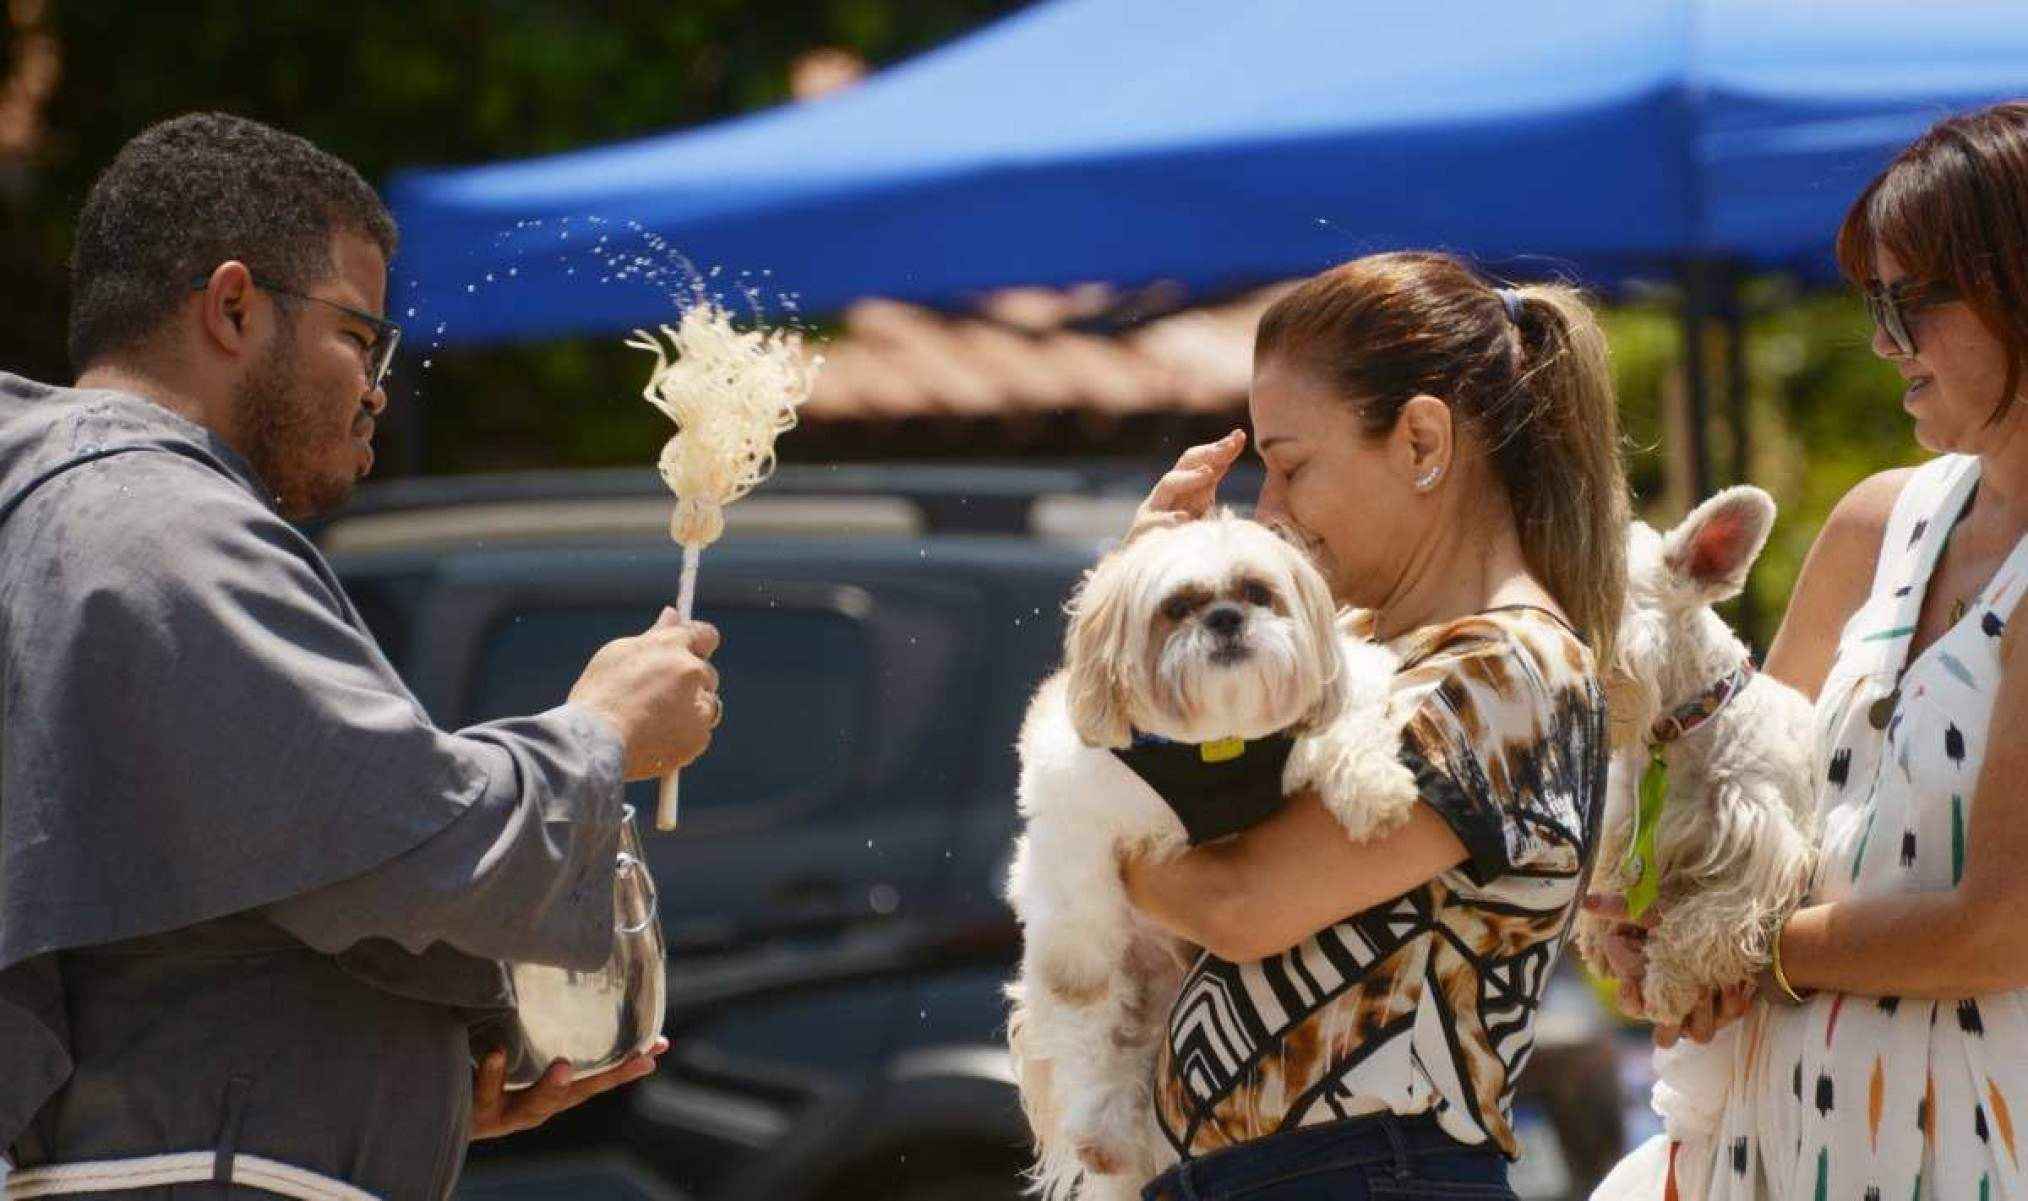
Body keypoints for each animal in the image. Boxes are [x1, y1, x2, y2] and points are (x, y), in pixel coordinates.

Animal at [1005, 513, 1419, 1201]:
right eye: (1176, 607)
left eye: (1257, 592)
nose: (1225, 619)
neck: (1216, 744)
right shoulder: (1071, 796)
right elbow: (1077, 899)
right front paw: (1077, 963)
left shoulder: (1343, 697)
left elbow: (1349, 734)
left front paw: (1375, 792)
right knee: (1090, 1040)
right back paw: (1103, 1129)